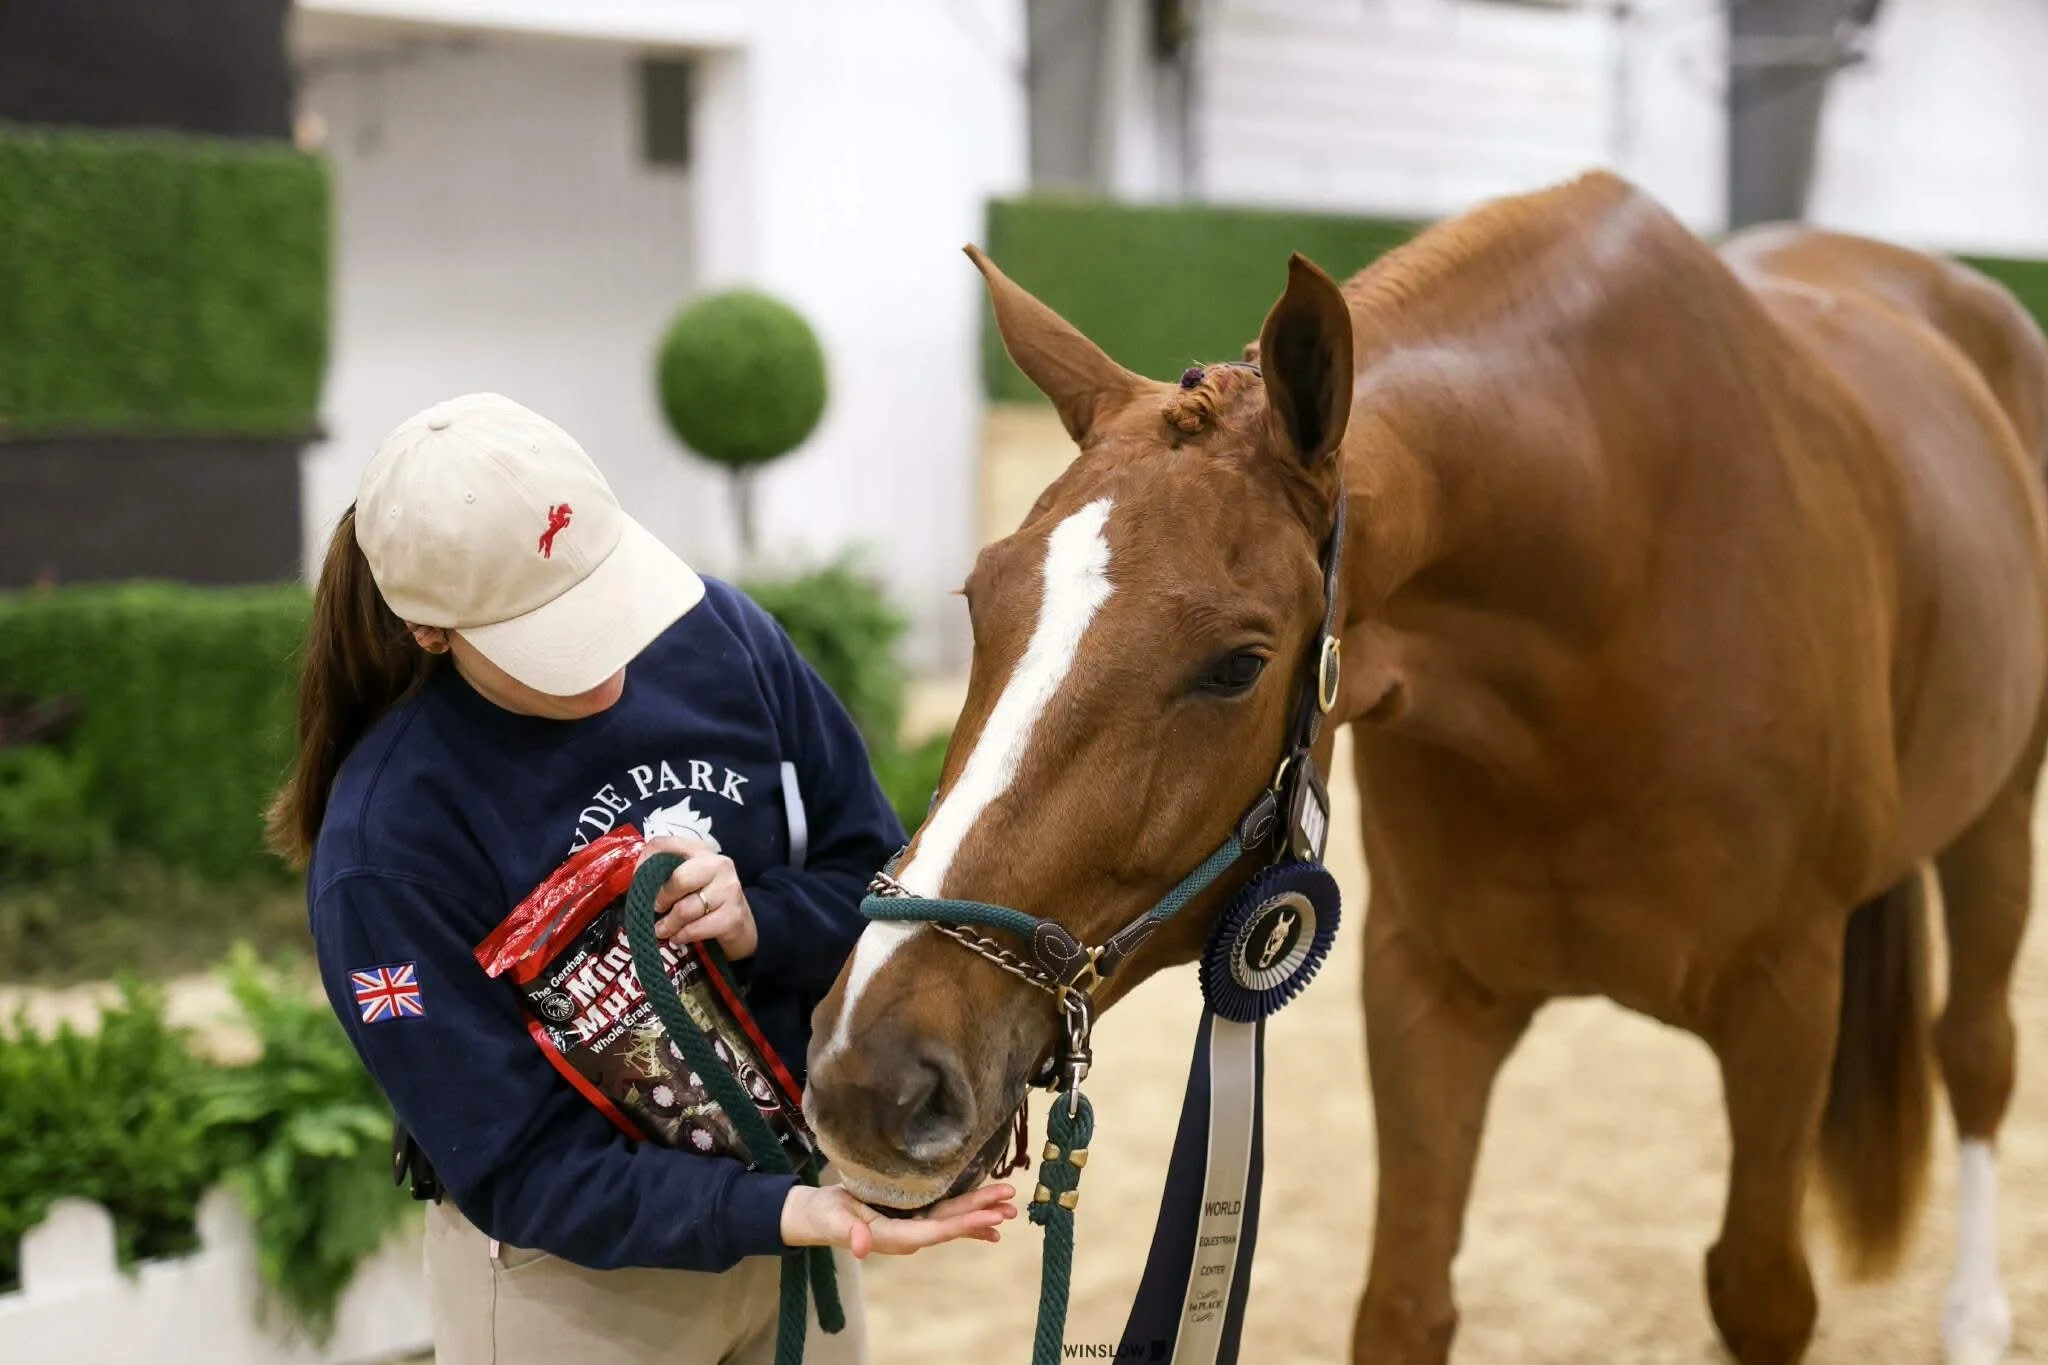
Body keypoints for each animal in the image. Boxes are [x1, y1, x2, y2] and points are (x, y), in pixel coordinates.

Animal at [801, 169, 2048, 1364]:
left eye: (1235, 666)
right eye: (981, 599)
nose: (872, 1072)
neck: (1615, 579)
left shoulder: (1782, 1003)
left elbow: (1759, 1296)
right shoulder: (1425, 991)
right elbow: (1403, 1307)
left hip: (1997, 818)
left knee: (1975, 1054)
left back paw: (1975, 1320)